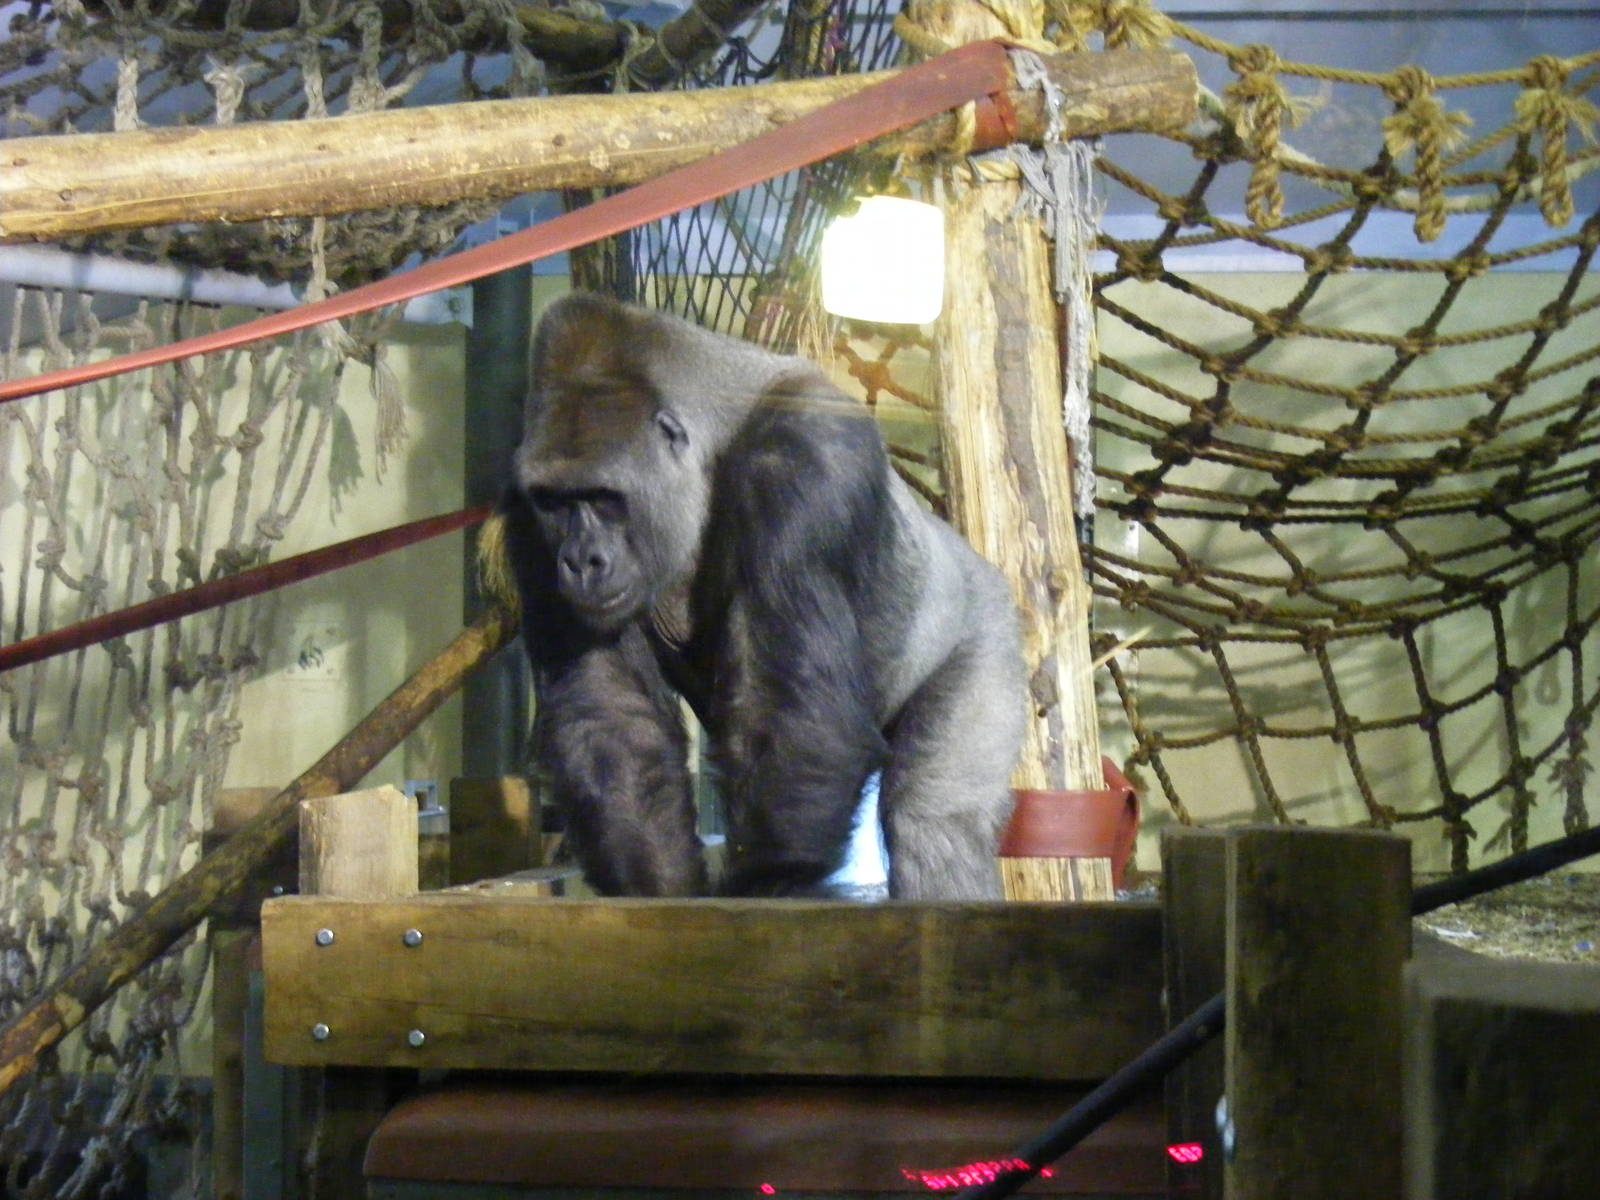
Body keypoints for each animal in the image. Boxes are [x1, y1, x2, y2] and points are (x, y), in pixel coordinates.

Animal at [497, 292, 1024, 899]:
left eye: (605, 497)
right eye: (554, 503)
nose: (581, 561)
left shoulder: (804, 456)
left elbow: (792, 722)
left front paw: (768, 883)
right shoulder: (522, 508)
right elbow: (613, 719)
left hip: (988, 623)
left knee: (933, 821)